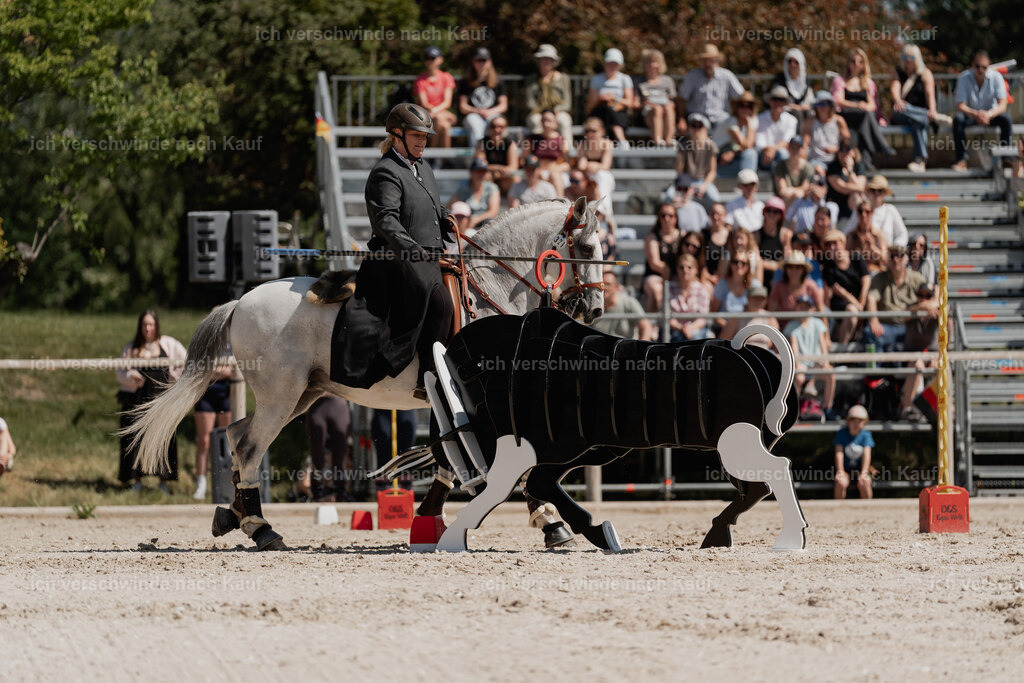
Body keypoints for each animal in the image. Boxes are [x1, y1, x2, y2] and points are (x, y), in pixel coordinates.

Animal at [122, 197, 606, 550]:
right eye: (585, 248)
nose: (595, 309)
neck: (488, 295)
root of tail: (240, 301)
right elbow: (505, 464)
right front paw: (552, 523)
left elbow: (451, 459)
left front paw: (430, 518)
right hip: (282, 397)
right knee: (250, 447)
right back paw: (262, 528)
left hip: (301, 396)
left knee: (237, 435)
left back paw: (234, 514)